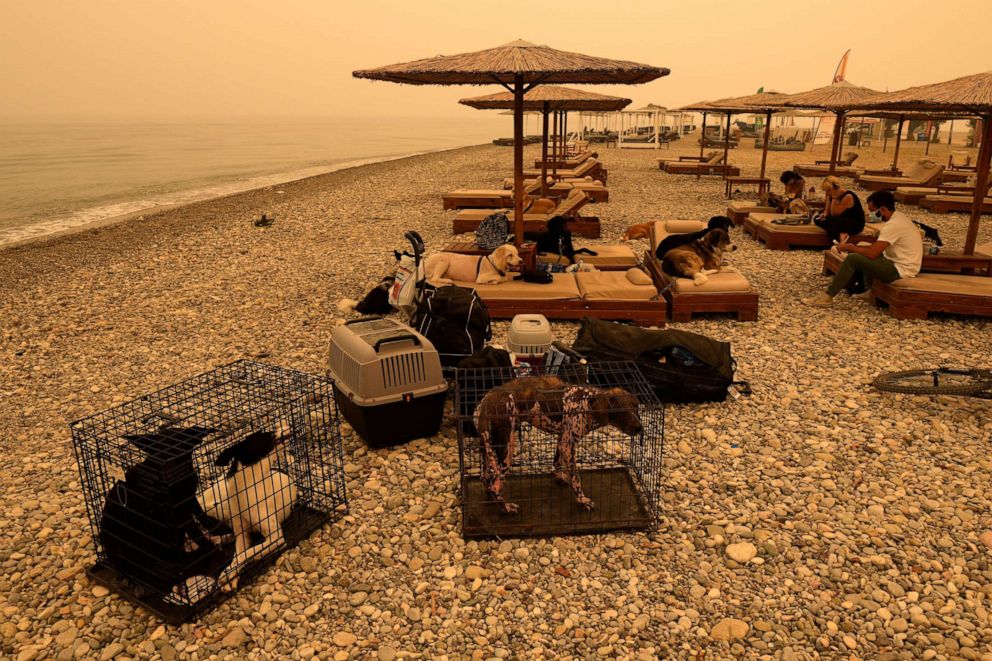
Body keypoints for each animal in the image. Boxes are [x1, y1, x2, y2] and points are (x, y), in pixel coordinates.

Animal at [70, 364, 348, 620]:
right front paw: (228, 572)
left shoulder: (275, 537)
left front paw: (228, 574)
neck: (253, 484)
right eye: (266, 435)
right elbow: (239, 553)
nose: (287, 422)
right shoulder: (240, 532)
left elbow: (248, 554)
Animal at [472, 374, 644, 512]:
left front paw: (561, 476)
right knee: (495, 486)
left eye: (636, 408)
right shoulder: (569, 446)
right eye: (622, 411)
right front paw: (582, 500)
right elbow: (576, 479)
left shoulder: (562, 441)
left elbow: (557, 464)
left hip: (486, 446)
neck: (587, 402)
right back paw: (506, 507)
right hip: (507, 449)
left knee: (485, 477)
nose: (640, 427)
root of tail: (485, 403)